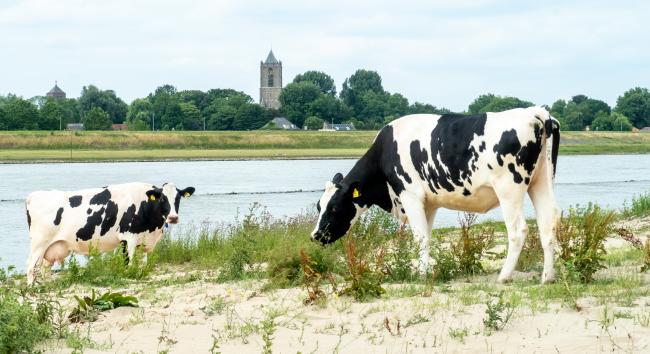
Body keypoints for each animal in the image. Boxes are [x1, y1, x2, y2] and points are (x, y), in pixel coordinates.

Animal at [24, 183, 195, 284]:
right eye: (162, 199)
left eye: (178, 198)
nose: (173, 217)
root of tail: (34, 195)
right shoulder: (128, 238)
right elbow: (129, 265)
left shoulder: (142, 242)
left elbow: (143, 265)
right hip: (38, 244)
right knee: (31, 267)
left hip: (49, 249)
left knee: (43, 270)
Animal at [312, 106, 560, 284]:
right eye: (318, 206)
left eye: (334, 207)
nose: (315, 236)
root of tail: (536, 112)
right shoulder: (428, 204)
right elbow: (427, 237)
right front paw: (426, 269)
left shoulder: (410, 195)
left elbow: (420, 237)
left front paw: (420, 274)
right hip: (541, 181)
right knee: (548, 223)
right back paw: (547, 277)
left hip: (509, 187)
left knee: (518, 230)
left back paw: (503, 276)